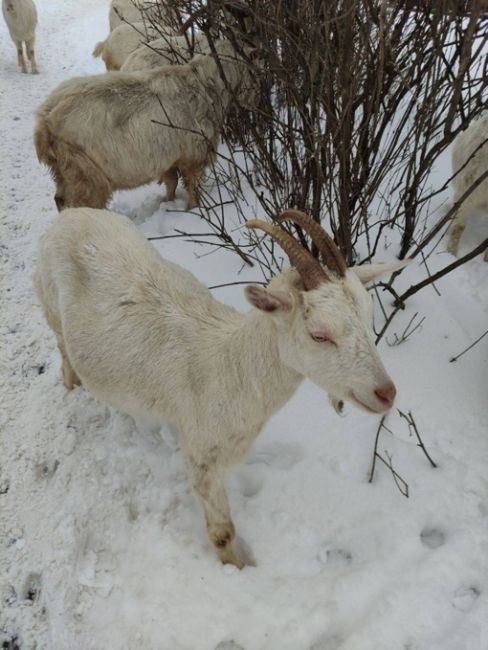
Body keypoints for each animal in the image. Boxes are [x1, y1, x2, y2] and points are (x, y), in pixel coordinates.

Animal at [34, 39, 255, 210]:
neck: (205, 84)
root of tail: (43, 121)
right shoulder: (194, 153)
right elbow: (193, 186)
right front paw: (193, 208)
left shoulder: (169, 157)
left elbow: (171, 182)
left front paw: (166, 203)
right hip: (85, 171)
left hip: (65, 170)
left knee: (60, 199)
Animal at [34, 205, 406, 564]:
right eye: (319, 335)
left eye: (369, 318)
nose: (386, 393)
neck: (229, 368)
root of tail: (68, 216)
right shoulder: (201, 456)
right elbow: (222, 532)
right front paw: (237, 569)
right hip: (51, 306)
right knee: (63, 349)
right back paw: (72, 387)